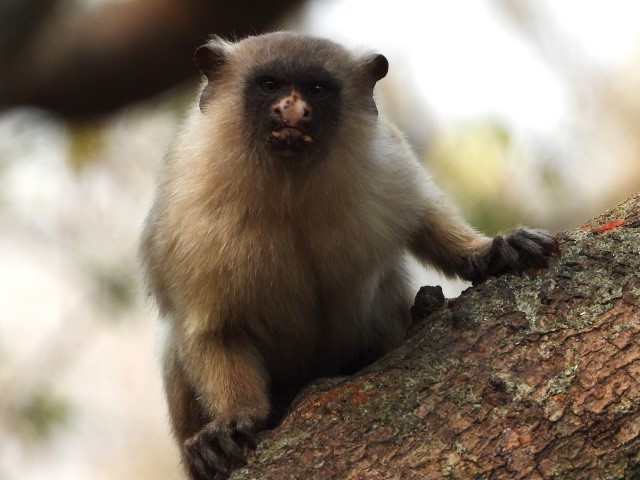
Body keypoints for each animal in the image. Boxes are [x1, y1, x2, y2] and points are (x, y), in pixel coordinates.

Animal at [139, 32, 559, 479]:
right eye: (269, 85)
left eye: (316, 89)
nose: (293, 109)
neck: (289, 188)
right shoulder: (189, 220)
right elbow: (211, 331)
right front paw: (233, 419)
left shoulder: (387, 167)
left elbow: (425, 216)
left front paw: (487, 252)